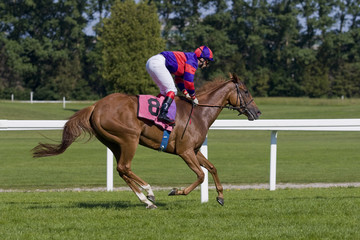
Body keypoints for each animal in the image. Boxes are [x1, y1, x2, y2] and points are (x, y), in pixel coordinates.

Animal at [32, 74, 260, 209]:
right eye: (246, 90)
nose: (257, 112)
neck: (199, 113)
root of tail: (95, 106)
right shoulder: (185, 151)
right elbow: (201, 175)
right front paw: (176, 191)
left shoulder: (195, 150)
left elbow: (212, 168)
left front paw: (220, 196)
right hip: (129, 138)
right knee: (125, 167)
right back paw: (149, 193)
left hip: (114, 143)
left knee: (121, 169)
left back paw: (145, 199)